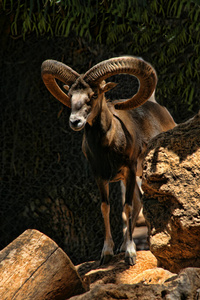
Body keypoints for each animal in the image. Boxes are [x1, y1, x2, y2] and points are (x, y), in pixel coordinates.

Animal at [41, 56, 176, 264]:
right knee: (139, 201)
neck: (108, 145)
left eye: (94, 94)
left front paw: (130, 254)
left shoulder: (129, 172)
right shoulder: (101, 178)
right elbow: (106, 208)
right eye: (70, 95)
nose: (75, 122)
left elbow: (127, 207)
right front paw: (107, 253)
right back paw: (122, 246)